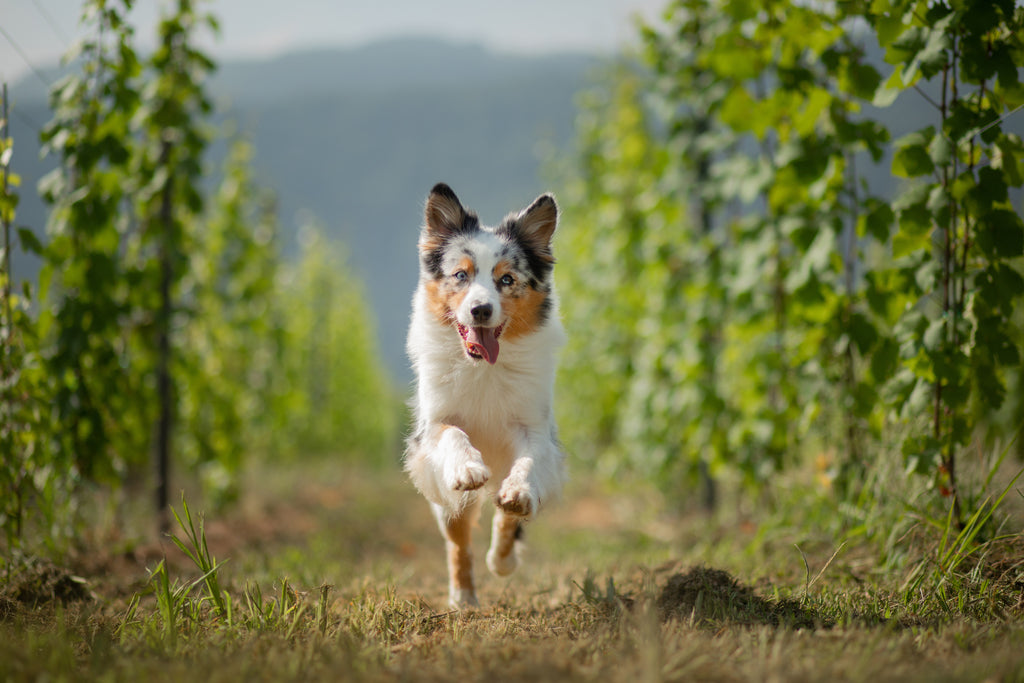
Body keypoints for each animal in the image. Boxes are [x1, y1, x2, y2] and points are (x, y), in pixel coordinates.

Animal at [403, 183, 569, 610]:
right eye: (460, 275)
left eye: (506, 279)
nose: (480, 310)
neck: (484, 367)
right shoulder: (434, 424)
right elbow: (454, 435)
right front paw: (468, 468)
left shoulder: (534, 428)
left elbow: (527, 467)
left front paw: (518, 493)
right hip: (446, 504)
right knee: (458, 542)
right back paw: (463, 597)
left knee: (505, 519)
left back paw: (503, 555)